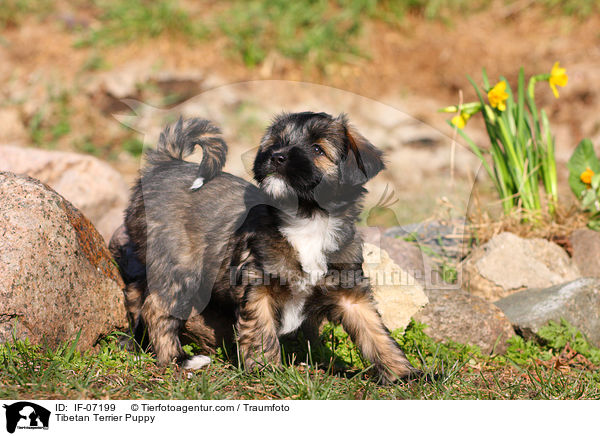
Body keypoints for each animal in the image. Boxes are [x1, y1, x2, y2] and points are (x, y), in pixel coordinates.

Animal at [113, 111, 422, 382]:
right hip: (180, 264)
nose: (277, 156)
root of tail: (166, 164)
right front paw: (266, 369)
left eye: (318, 149)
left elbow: (376, 333)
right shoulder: (256, 284)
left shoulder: (351, 294)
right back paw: (178, 359)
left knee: (136, 293)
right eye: (276, 142)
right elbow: (261, 330)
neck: (307, 220)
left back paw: (135, 345)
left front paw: (405, 374)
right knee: (156, 308)